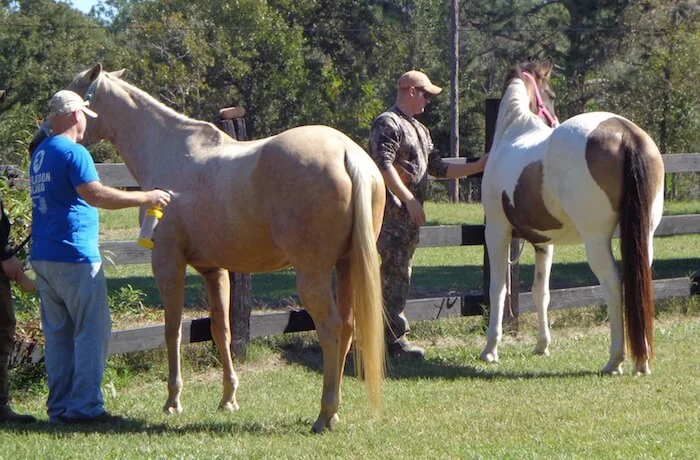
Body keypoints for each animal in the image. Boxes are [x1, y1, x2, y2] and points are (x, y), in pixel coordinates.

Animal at [38, 63, 387, 433]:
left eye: (74, 93)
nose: (39, 139)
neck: (171, 154)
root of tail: (348, 153)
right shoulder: (213, 270)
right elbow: (222, 330)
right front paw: (228, 399)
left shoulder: (167, 264)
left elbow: (172, 331)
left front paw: (172, 402)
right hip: (346, 267)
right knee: (347, 327)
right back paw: (332, 412)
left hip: (313, 275)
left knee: (331, 329)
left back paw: (324, 415)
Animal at [480, 58, 664, 376]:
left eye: (551, 94)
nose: (553, 119)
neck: (513, 131)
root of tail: (624, 132)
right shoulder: (544, 242)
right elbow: (541, 292)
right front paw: (542, 346)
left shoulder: (496, 231)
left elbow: (498, 289)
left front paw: (490, 350)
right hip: (645, 236)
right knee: (638, 283)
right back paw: (641, 361)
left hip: (596, 239)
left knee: (613, 284)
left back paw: (615, 360)